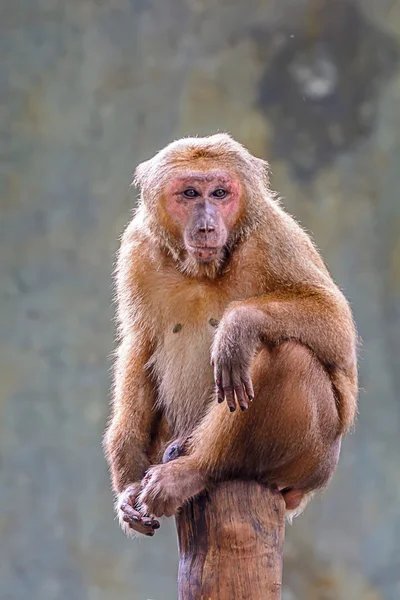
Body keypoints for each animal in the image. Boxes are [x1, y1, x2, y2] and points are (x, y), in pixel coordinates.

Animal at [102, 134, 356, 536]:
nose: (206, 225)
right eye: (190, 193)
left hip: (314, 459)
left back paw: (196, 469)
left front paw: (237, 326)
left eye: (220, 193)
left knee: (288, 354)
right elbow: (140, 343)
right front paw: (126, 480)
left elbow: (336, 325)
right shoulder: (138, 248)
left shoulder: (274, 235)